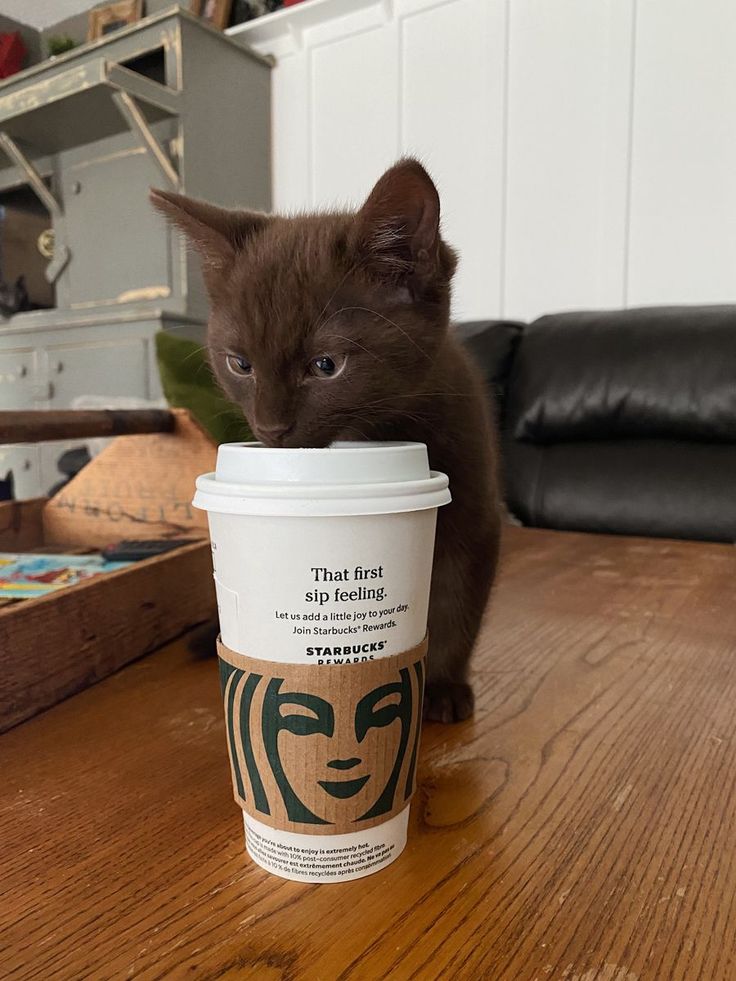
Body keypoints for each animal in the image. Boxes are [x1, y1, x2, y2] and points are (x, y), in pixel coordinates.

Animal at [152, 157, 504, 716]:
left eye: (325, 365)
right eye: (240, 364)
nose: (270, 428)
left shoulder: (474, 503)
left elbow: (456, 598)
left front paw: (444, 687)